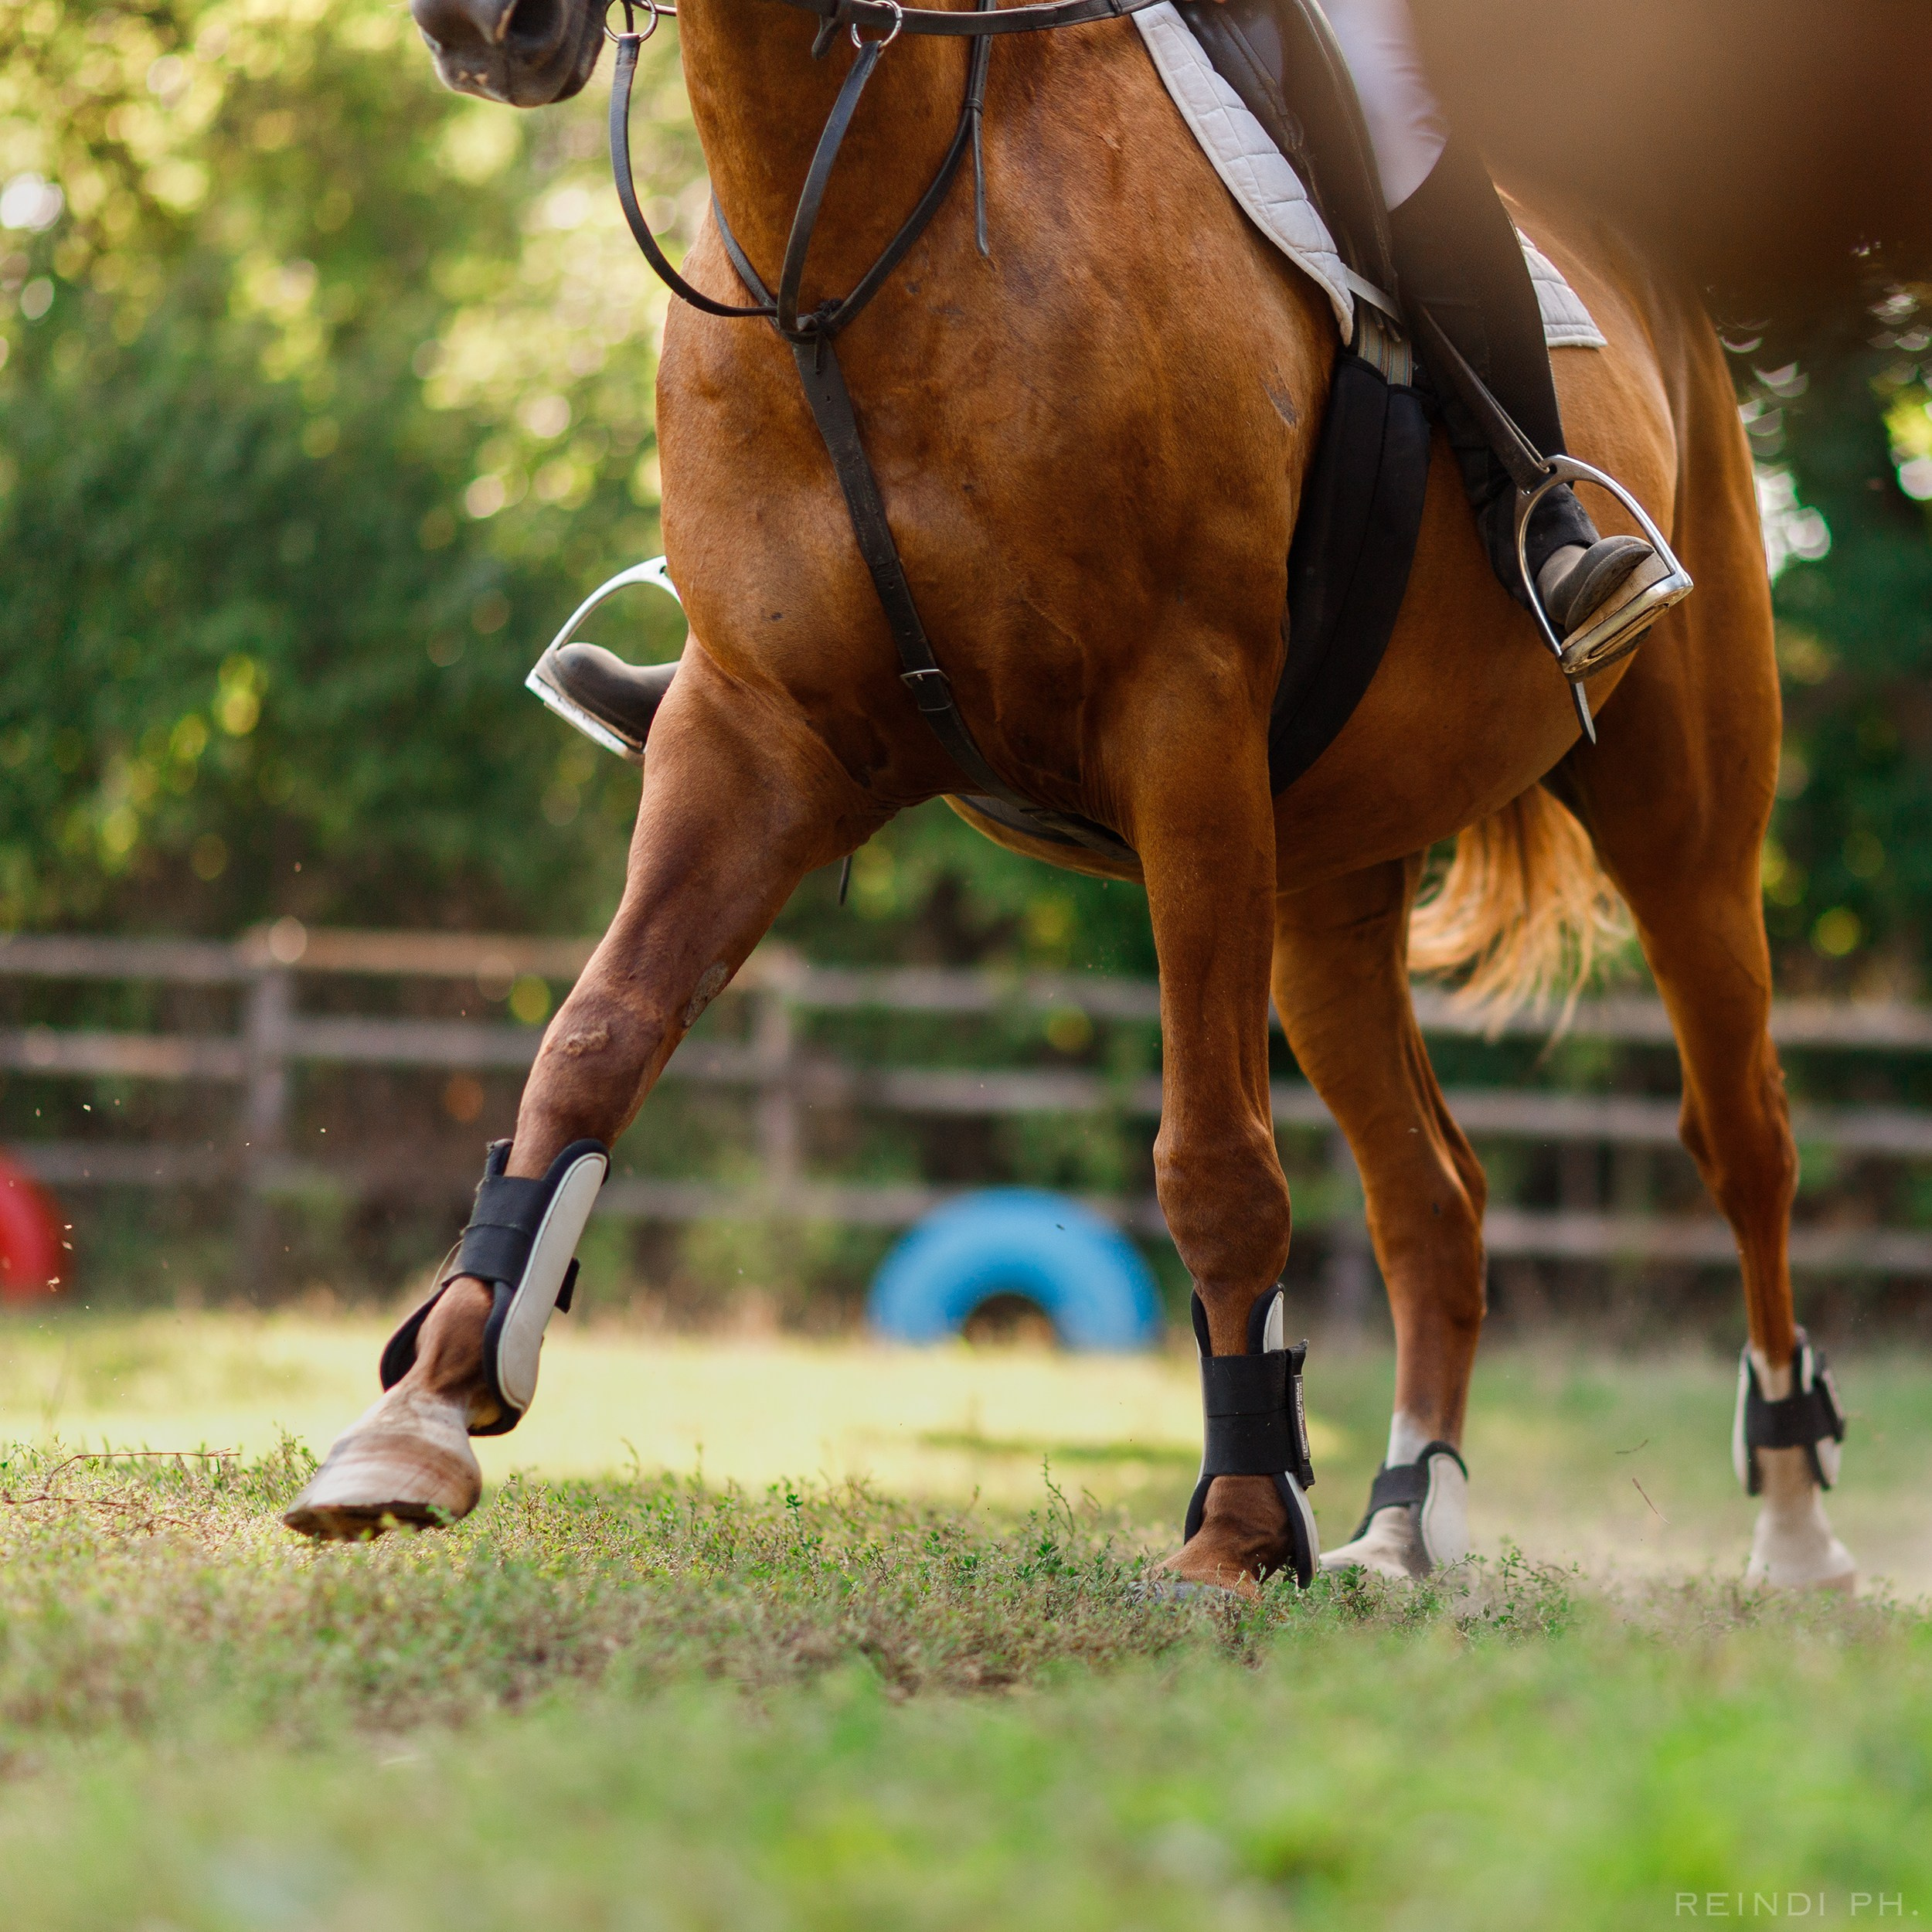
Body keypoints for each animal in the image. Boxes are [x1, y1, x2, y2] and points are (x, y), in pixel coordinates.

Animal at [289, 0, 1856, 1591]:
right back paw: (1408, 1519)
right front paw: (423, 1414)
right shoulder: (751, 738)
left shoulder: (1184, 730)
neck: (855, 235)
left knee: (1745, 1141)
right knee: (1434, 1197)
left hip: (1681, 826)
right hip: (1325, 892)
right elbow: (594, 1042)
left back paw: (1794, 1530)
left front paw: (1240, 1529)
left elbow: (1215, 1163)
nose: (489, 32)